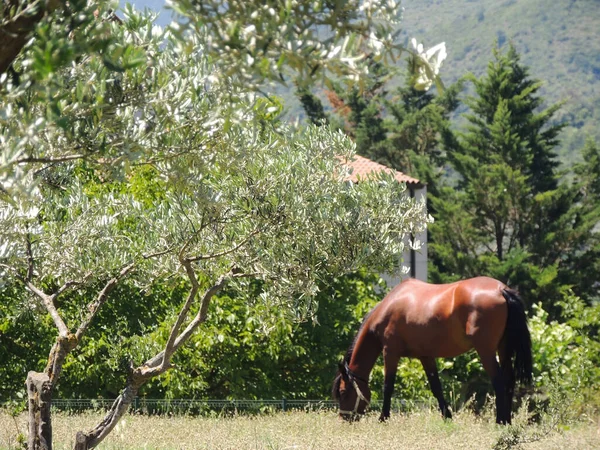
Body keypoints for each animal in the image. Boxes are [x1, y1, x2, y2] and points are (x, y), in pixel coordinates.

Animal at [332, 276, 536, 424]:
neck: (389, 307)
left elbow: (388, 386)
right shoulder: (426, 356)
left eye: (343, 392)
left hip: (486, 351)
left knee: (499, 382)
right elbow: (436, 387)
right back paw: (507, 421)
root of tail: (501, 290)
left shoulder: (390, 352)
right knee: (509, 381)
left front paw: (383, 418)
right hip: (503, 349)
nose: (344, 418)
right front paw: (447, 417)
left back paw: (500, 421)